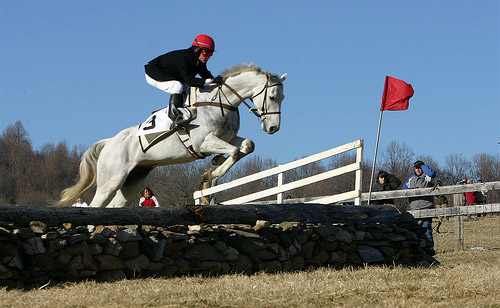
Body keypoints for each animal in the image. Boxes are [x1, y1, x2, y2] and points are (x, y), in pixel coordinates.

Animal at [59, 62, 286, 207]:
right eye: (272, 97)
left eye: (282, 97)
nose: (273, 128)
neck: (220, 102)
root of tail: (109, 143)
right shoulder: (203, 142)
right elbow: (234, 151)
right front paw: (213, 173)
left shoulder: (226, 138)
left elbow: (246, 145)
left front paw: (216, 162)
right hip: (112, 179)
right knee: (97, 204)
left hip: (133, 180)